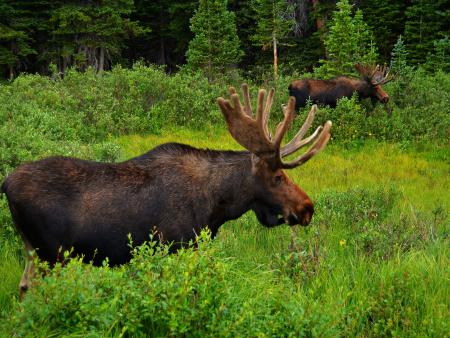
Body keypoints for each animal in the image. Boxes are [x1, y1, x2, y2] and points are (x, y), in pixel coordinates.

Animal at [1, 84, 332, 298]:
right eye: (277, 176)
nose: (307, 207)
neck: (216, 207)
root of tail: (5, 184)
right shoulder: (174, 245)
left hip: (33, 251)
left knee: (23, 288)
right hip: (52, 254)